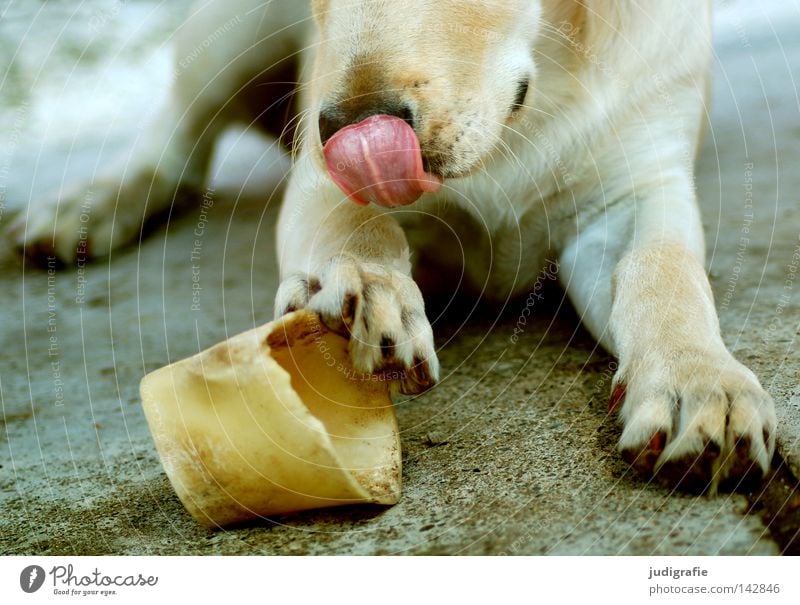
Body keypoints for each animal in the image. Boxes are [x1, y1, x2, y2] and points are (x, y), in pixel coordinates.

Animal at [14, 0, 776, 490]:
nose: (343, 128)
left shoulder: (639, 187)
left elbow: (663, 273)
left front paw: (699, 379)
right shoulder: (320, 180)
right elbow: (358, 225)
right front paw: (360, 291)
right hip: (234, 30)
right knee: (179, 134)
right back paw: (90, 205)